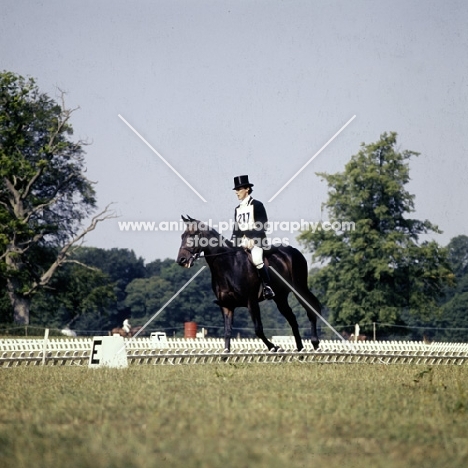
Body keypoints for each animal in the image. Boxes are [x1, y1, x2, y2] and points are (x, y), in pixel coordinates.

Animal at [176, 216, 322, 352]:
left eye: (193, 235)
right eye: (182, 236)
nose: (181, 260)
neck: (228, 266)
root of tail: (293, 250)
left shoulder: (251, 302)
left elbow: (258, 330)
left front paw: (275, 347)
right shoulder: (227, 306)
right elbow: (227, 333)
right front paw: (225, 357)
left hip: (299, 289)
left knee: (310, 310)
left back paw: (315, 343)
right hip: (280, 297)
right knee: (292, 319)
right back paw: (300, 349)